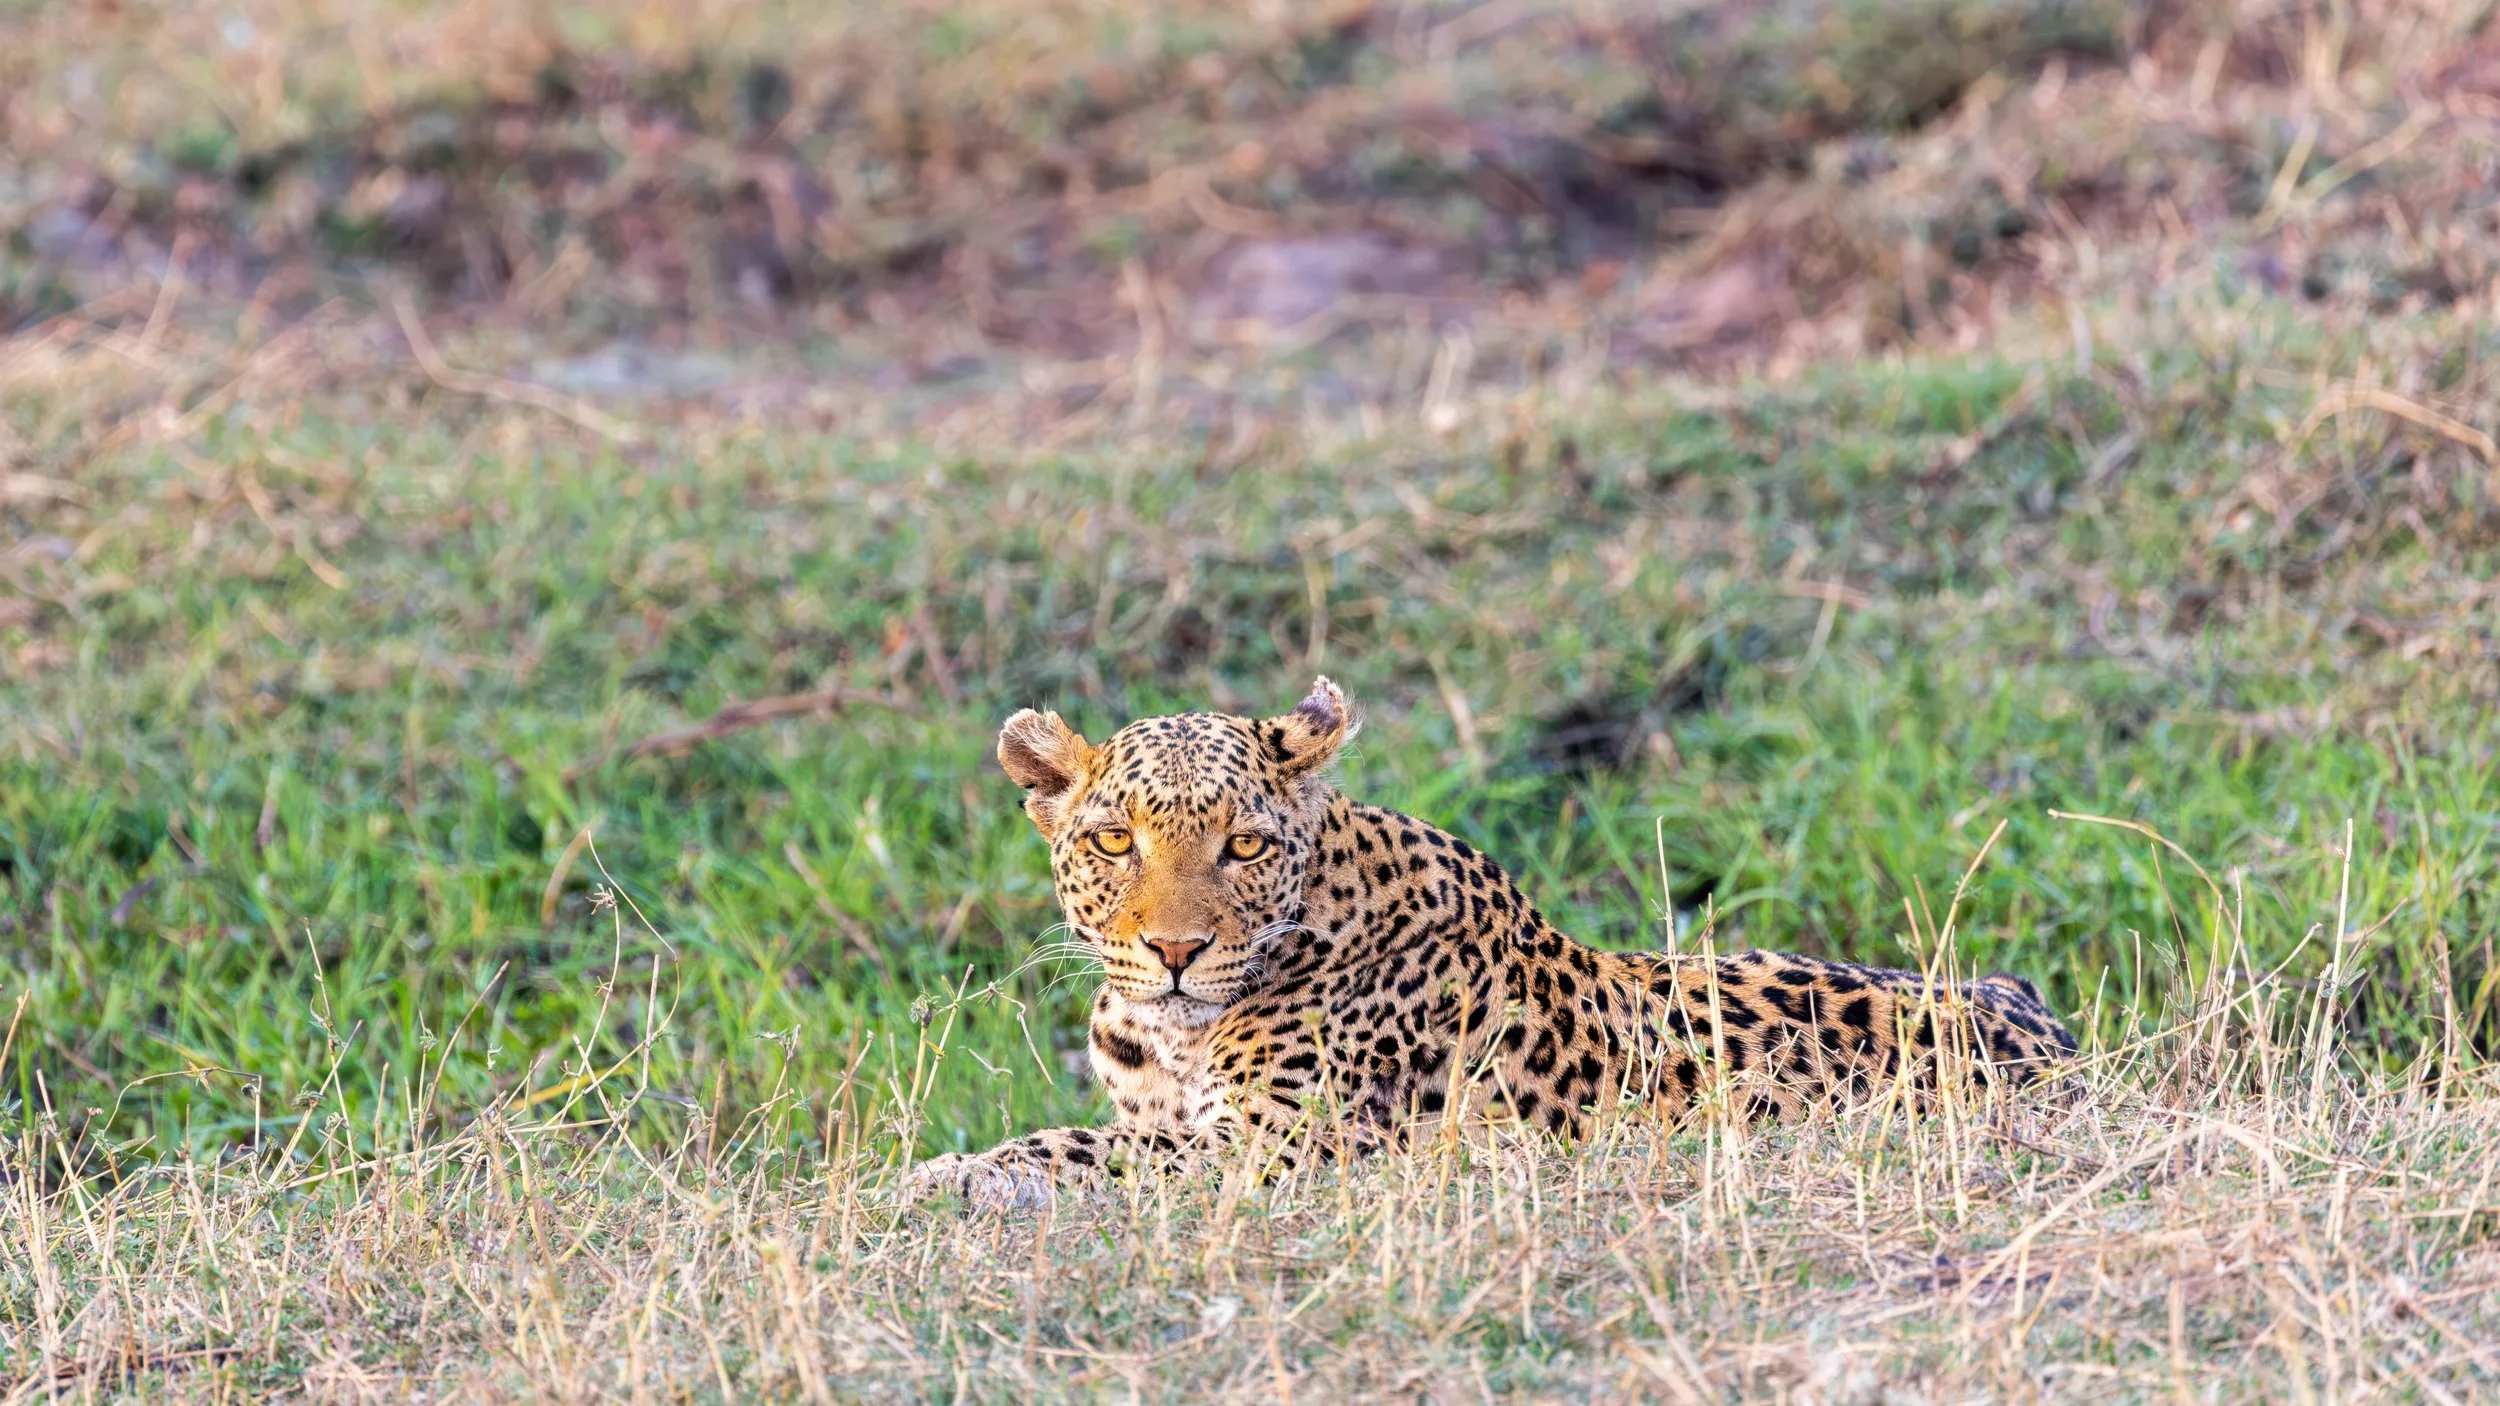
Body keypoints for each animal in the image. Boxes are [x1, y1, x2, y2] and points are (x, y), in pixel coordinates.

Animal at [906, 677, 2077, 1210]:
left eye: (1244, 844)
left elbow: (1097, 1151)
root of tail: (2060, 1037)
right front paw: (956, 1170)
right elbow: (1100, 1136)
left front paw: (949, 1177)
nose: (1176, 951)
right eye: (1114, 839)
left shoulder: (1287, 1149)